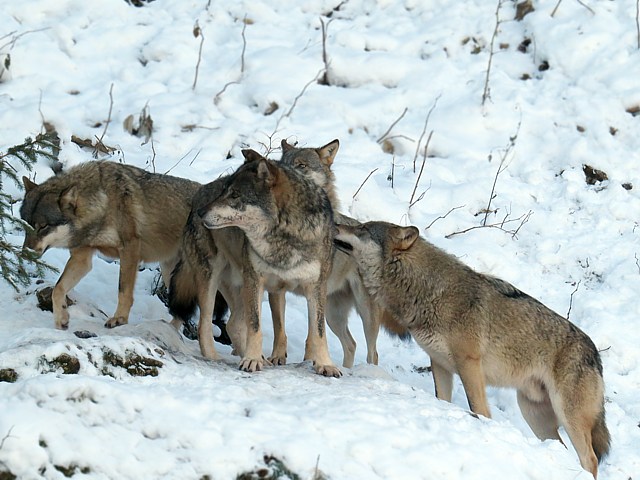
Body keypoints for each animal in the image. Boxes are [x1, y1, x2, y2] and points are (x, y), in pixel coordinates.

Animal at [198, 152, 342, 376]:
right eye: (224, 192)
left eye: (235, 195)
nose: (200, 212)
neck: (284, 236)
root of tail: (200, 190)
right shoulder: (256, 281)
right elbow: (255, 326)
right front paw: (252, 360)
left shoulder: (316, 287)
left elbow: (318, 331)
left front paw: (325, 364)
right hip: (213, 278)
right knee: (205, 322)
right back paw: (216, 356)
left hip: (240, 288)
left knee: (233, 325)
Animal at [336, 220, 608, 476]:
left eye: (362, 228)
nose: (335, 223)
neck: (430, 291)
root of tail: (595, 354)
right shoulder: (439, 364)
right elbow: (443, 399)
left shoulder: (469, 364)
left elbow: (478, 408)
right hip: (533, 414)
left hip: (566, 415)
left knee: (590, 459)